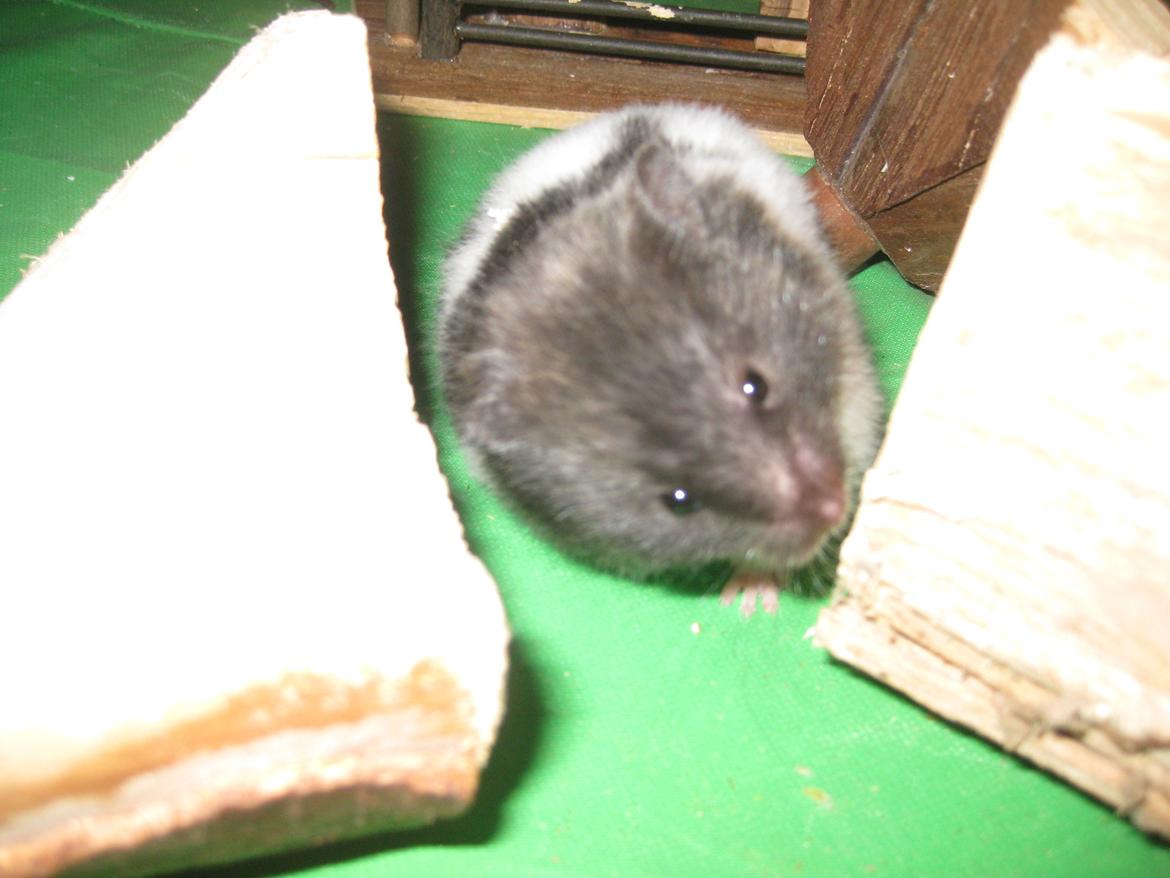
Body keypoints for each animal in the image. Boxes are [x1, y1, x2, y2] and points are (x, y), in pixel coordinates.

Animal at [438, 103, 882, 614]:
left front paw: (755, 597)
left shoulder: (853, 386)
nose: (832, 510)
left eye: (755, 385)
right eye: (679, 501)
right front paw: (747, 602)